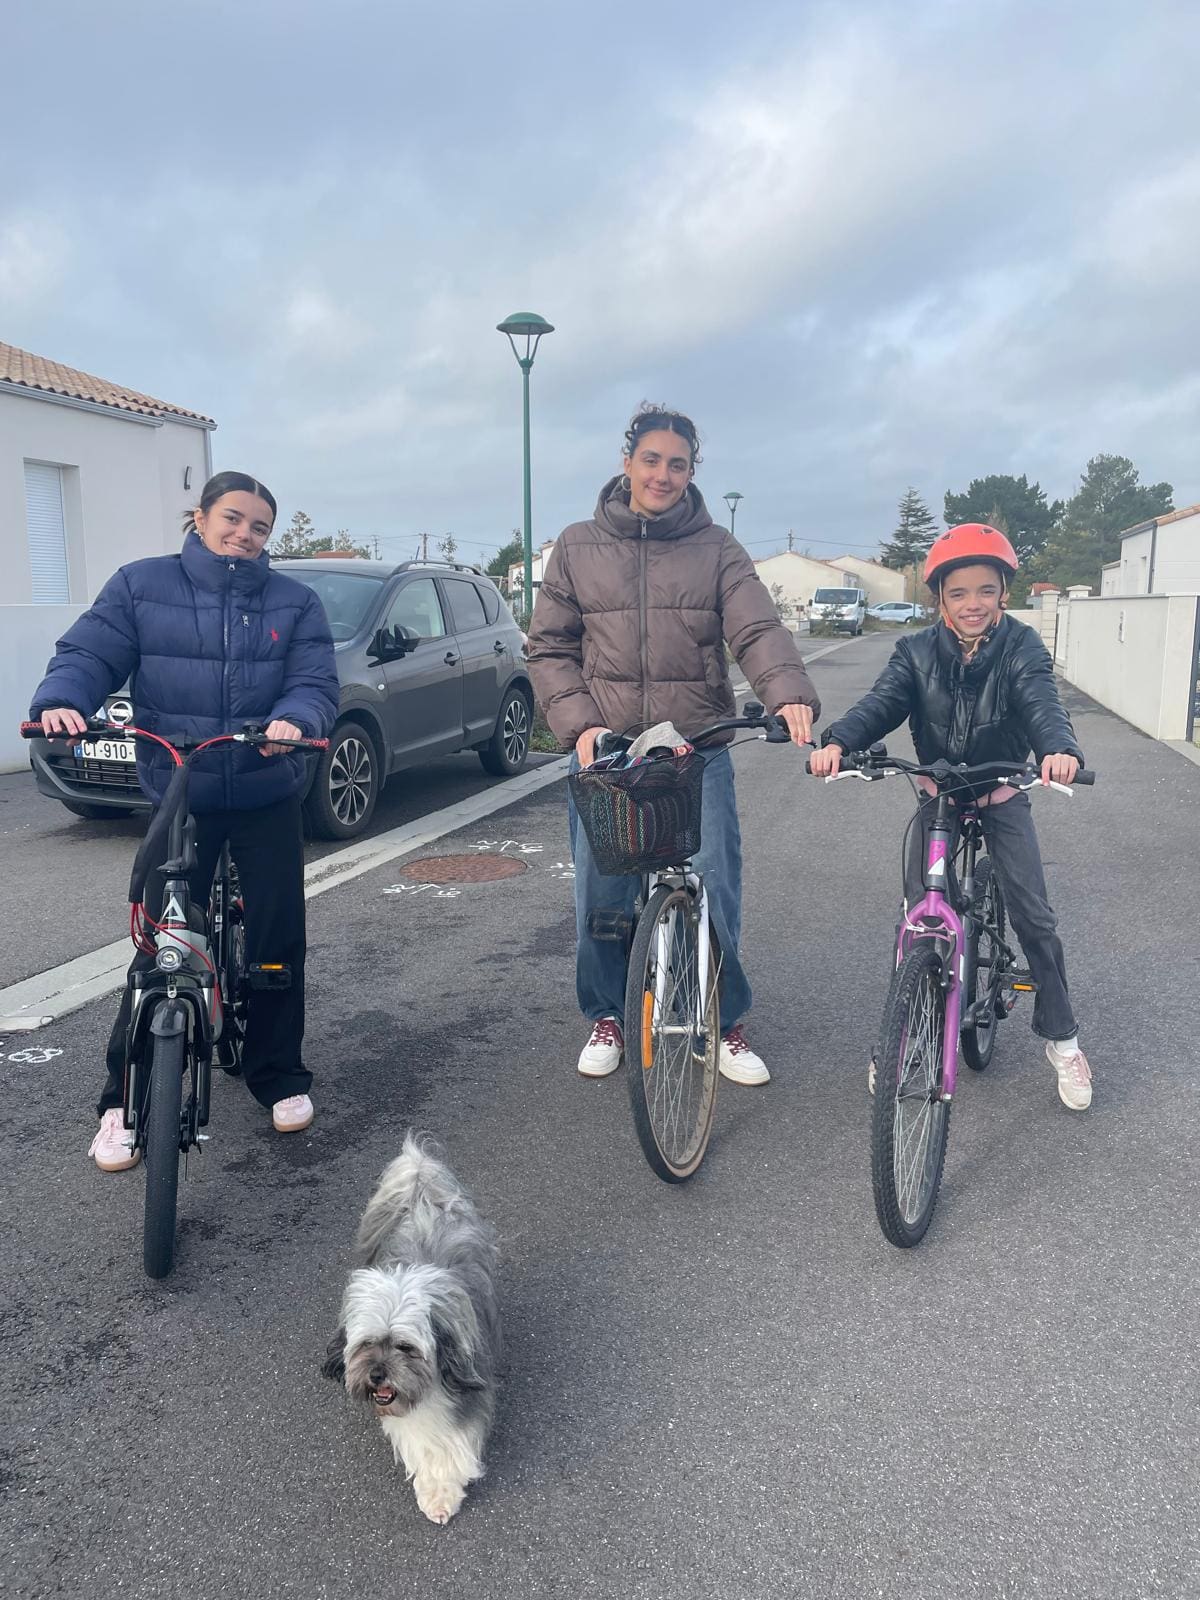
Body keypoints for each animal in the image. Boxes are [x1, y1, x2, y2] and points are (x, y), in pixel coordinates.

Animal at [322, 1133, 501, 1524]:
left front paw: (443, 1493)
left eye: (405, 1347)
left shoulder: (466, 1393)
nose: (376, 1374)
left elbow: (452, 1446)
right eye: (366, 1344)